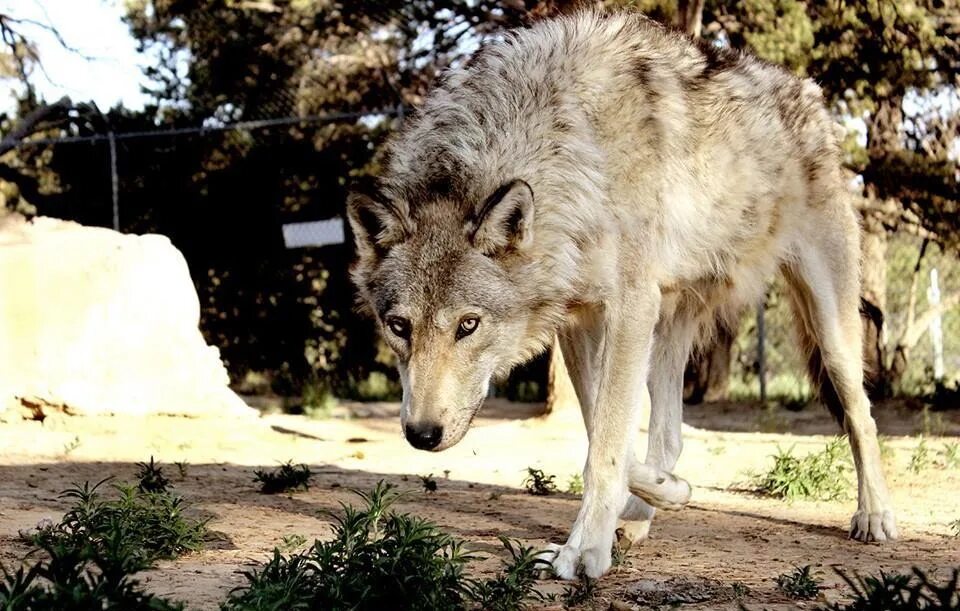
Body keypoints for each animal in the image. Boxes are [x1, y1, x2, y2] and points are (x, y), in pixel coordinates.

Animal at [346, 10, 897, 579]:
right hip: (668, 330)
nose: (421, 434)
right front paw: (664, 495)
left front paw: (583, 550)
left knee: (862, 415)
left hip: (829, 333)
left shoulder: (628, 308)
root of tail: (809, 93)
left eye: (468, 325)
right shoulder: (580, 320)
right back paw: (640, 515)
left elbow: (606, 447)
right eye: (399, 326)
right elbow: (602, 430)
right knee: (670, 434)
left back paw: (874, 515)